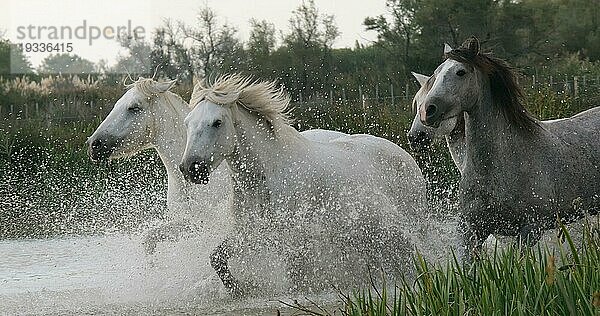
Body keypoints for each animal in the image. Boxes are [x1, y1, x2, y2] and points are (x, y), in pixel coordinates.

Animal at [178, 74, 426, 296]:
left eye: (217, 123)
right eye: (187, 123)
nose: (191, 168)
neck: (268, 175)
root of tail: (405, 155)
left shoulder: (288, 238)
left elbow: (295, 277)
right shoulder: (250, 231)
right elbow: (217, 257)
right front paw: (240, 289)